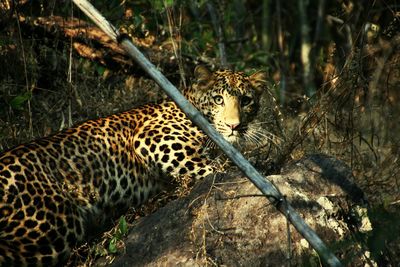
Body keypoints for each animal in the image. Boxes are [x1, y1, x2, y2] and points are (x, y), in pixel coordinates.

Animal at [0, 65, 268, 267]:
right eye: (218, 99)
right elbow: (214, 168)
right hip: (56, 224)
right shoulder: (153, 139)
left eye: (246, 100)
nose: (234, 126)